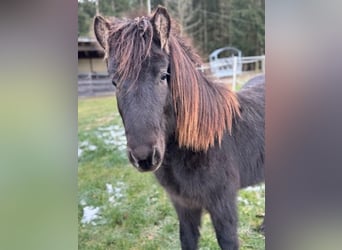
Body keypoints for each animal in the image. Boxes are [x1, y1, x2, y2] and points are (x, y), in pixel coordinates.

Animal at [93, 5, 264, 250]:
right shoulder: (184, 206)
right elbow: (187, 240)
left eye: (164, 74)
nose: (144, 157)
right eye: (114, 82)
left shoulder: (223, 207)